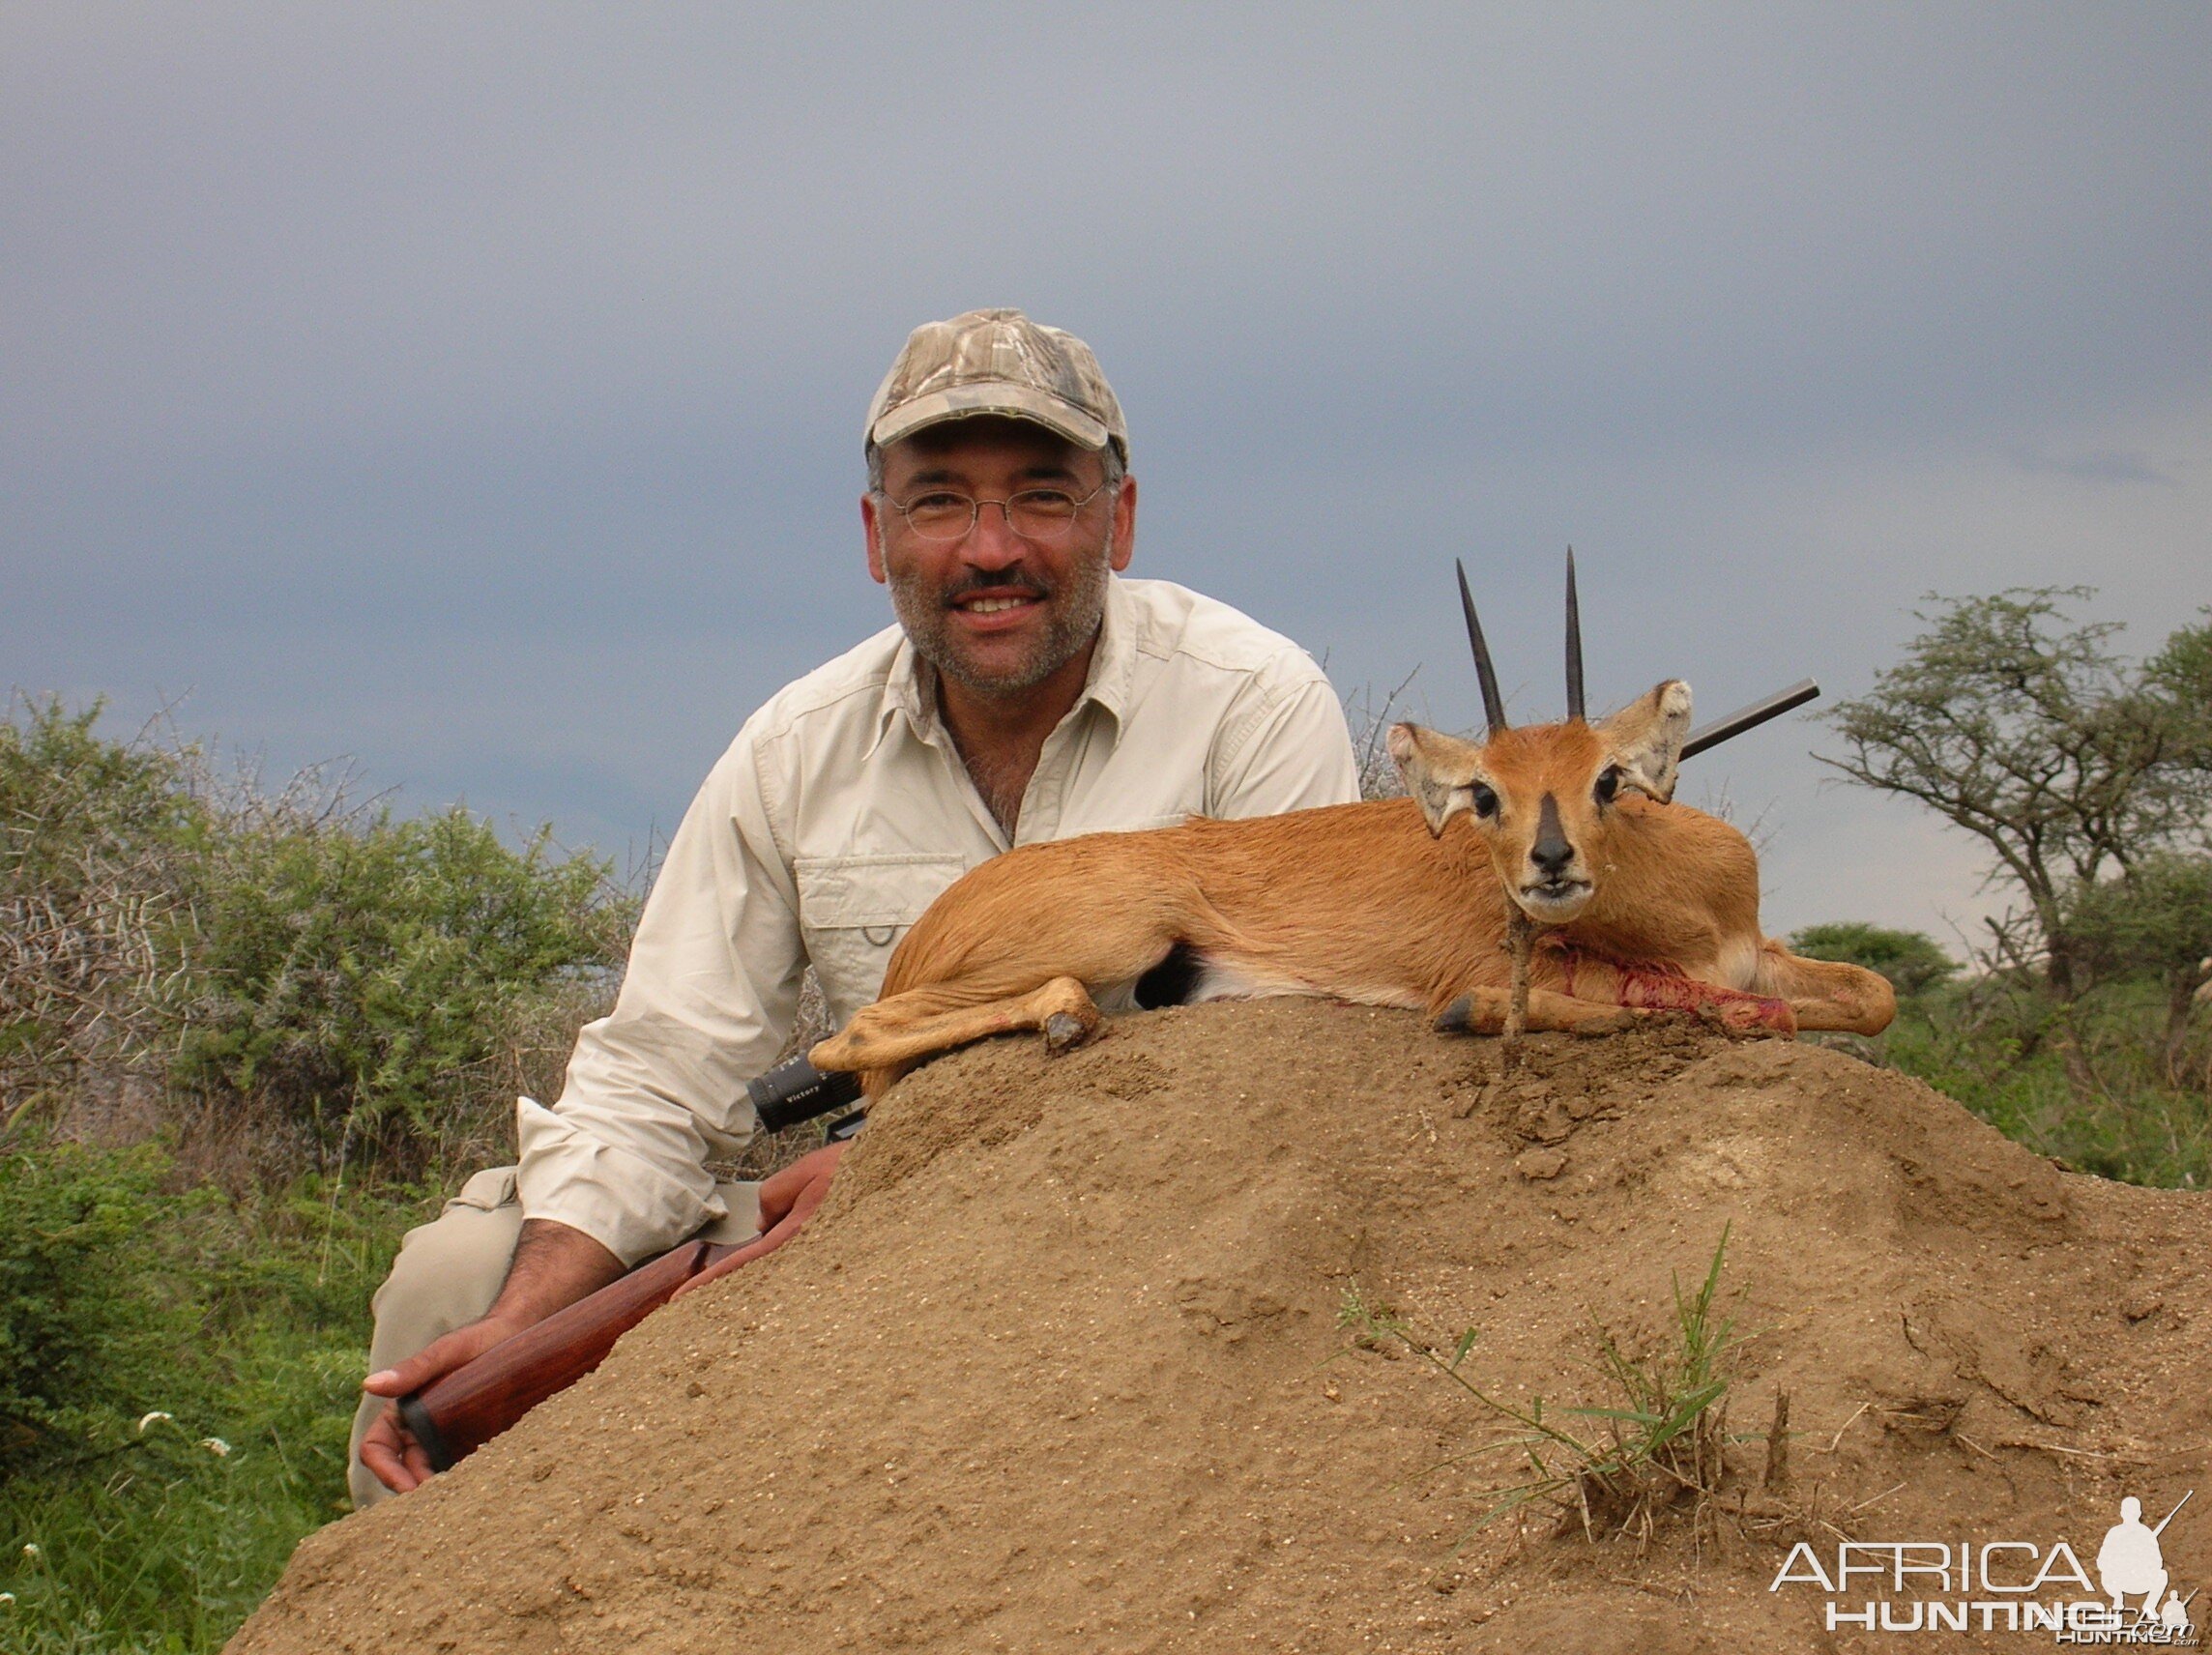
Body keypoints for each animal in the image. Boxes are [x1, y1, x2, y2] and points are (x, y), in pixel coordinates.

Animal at [804, 560, 1893, 1097]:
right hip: (1113, 936)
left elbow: (1870, 996)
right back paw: (1065, 1019)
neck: (1688, 907)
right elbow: (1642, 1007)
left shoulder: (1760, 953)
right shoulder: (1503, 964)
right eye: (1484, 793)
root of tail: (932, 925)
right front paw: (1477, 1015)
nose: (1549, 866)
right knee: (852, 1035)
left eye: (1609, 778)